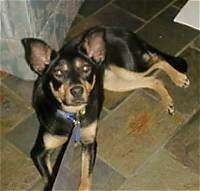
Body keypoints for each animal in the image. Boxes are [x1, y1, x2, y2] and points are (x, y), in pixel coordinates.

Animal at [21, 25, 190, 191]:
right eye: (58, 72)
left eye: (85, 68)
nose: (77, 91)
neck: (73, 116)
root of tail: (120, 31)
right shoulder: (39, 152)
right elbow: (51, 179)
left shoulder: (90, 143)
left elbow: (85, 179)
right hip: (116, 81)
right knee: (154, 79)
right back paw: (168, 100)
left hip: (129, 67)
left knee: (158, 60)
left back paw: (179, 78)